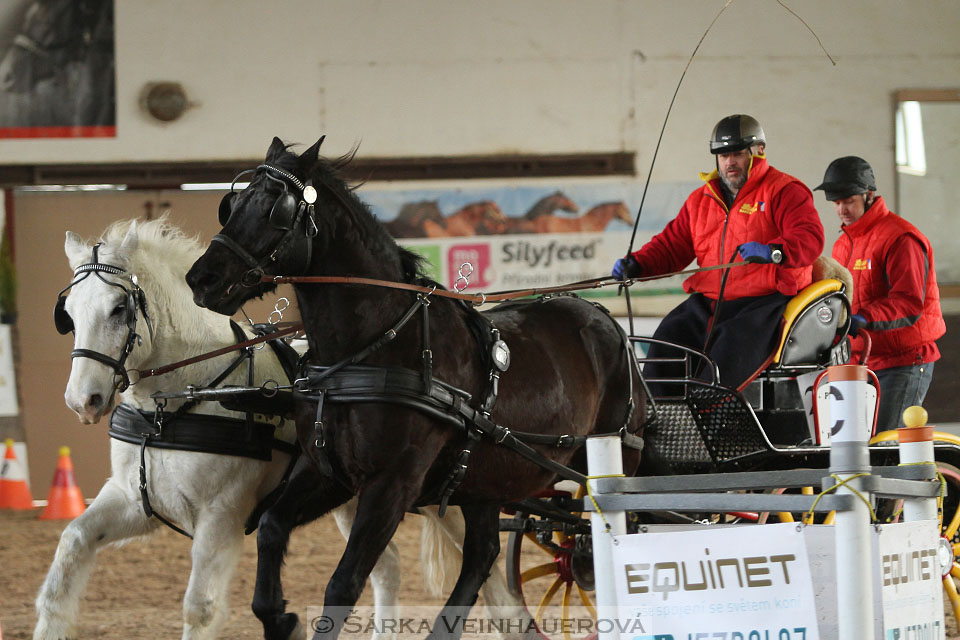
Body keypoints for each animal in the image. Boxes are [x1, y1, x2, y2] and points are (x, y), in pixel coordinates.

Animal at [37, 218, 528, 640]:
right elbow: (69, 553)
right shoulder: (135, 500)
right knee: (387, 567)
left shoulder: (222, 515)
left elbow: (200, 608)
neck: (175, 404)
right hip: (355, 499)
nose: (82, 400)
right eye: (68, 314)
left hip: (443, 497)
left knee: (494, 584)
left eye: (120, 308)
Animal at [186, 136, 644, 640]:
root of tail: (604, 318)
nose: (201, 278)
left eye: (276, 207)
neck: (373, 349)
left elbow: (344, 583)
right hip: (485, 479)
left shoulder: (392, 484)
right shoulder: (326, 471)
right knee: (481, 556)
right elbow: (270, 527)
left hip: (618, 460)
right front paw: (280, 617)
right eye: (232, 206)